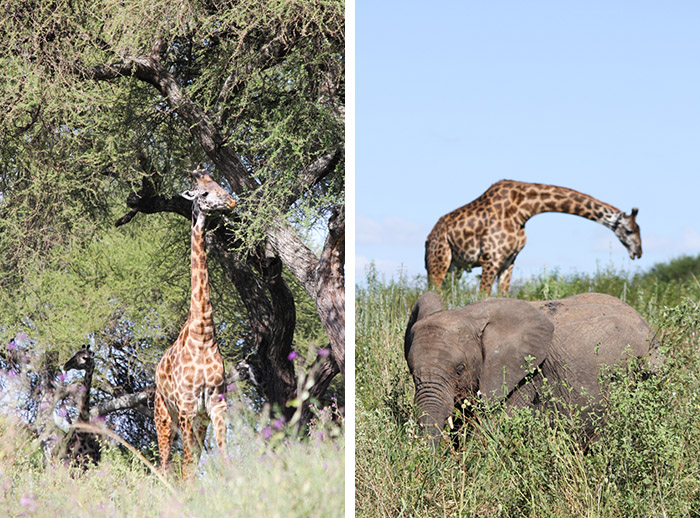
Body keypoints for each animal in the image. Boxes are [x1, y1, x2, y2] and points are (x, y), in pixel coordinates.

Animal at [155, 170, 237, 480]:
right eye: (203, 193)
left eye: (219, 184)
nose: (231, 201)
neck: (203, 334)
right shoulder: (187, 407)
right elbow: (187, 466)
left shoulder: (216, 403)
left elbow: (224, 458)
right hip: (164, 417)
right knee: (165, 465)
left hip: (198, 420)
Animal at [424, 182, 644, 296]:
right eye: (630, 230)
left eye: (638, 229)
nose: (639, 252)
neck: (524, 210)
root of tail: (429, 236)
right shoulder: (491, 258)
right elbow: (482, 295)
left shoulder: (508, 260)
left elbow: (503, 295)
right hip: (438, 261)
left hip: (456, 267)